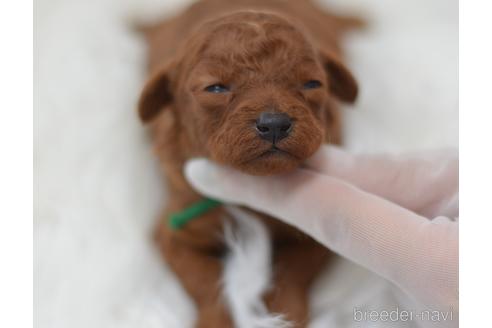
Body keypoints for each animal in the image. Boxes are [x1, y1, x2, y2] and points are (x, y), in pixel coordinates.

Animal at [137, 1, 358, 326]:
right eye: (215, 88)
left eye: (312, 83)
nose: (275, 123)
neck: (254, 187)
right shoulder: (176, 232)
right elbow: (206, 282)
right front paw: (216, 320)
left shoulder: (314, 235)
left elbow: (291, 274)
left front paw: (285, 315)